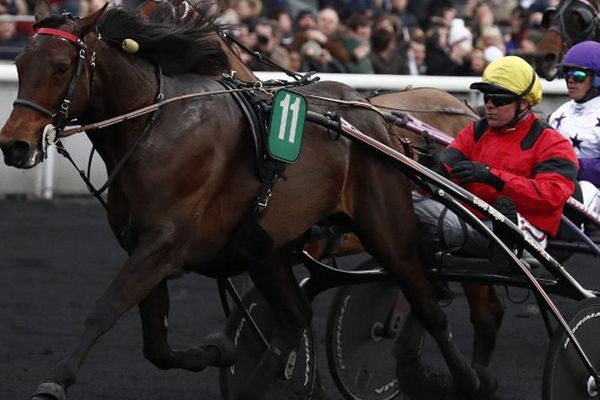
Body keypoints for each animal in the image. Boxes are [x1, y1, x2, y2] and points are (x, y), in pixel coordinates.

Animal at [0, 1, 482, 398]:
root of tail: (376, 119)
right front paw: (218, 351)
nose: (14, 145)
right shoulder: (146, 244)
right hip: (266, 246)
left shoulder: (163, 244)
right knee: (295, 316)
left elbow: (105, 309)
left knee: (428, 302)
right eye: (20, 63)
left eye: (62, 65)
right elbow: (157, 346)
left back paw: (470, 379)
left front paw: (55, 382)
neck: (155, 128)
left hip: (386, 229)